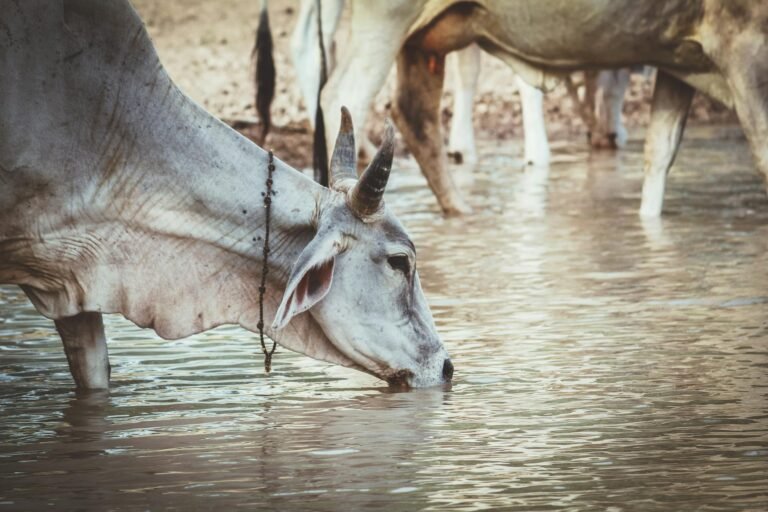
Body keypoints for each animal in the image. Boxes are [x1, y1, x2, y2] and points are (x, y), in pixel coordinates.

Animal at [319, 0, 768, 216]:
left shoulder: (680, 60)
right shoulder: (746, 48)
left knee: (415, 116)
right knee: (342, 96)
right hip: (386, 20)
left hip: (425, 40)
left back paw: (462, 212)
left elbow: (659, 154)